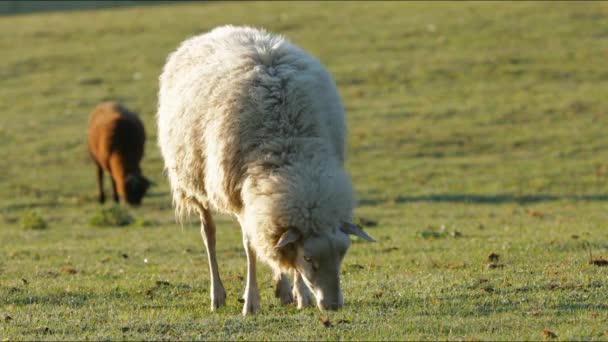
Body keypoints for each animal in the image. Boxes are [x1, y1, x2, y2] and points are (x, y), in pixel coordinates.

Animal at [157, 26, 376, 316]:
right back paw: (218, 294)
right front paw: (251, 301)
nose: (332, 306)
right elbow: (250, 247)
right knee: (209, 234)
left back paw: (283, 289)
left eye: (342, 254)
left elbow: (280, 252)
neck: (291, 152)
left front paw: (301, 294)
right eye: (308, 257)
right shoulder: (240, 193)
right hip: (195, 181)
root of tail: (218, 30)